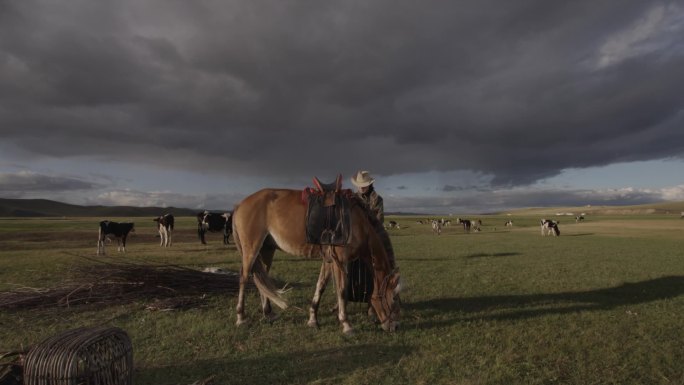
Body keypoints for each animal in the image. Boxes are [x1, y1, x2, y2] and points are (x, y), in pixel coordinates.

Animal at [234, 188, 400, 332]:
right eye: (393, 299)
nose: (394, 327)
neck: (356, 222)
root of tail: (240, 205)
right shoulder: (340, 260)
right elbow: (342, 290)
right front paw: (346, 324)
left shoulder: (329, 261)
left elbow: (321, 286)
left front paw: (313, 319)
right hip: (251, 249)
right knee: (244, 277)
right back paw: (241, 317)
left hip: (266, 250)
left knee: (262, 279)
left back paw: (268, 313)